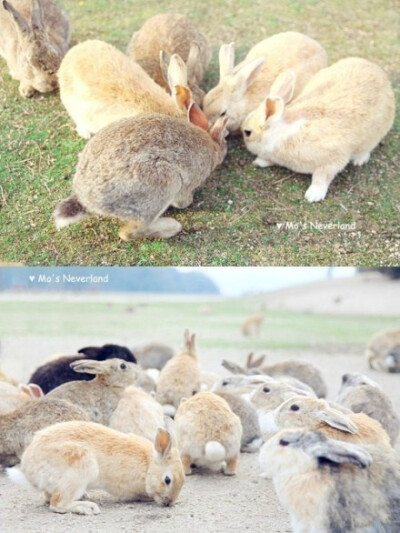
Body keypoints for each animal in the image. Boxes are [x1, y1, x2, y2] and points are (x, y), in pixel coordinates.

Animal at [9, 422, 184, 512]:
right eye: (167, 480)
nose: (169, 503)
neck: (148, 466)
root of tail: (29, 471)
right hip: (81, 469)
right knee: (57, 504)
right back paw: (87, 508)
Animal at [53, 103, 228, 239]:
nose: (226, 152)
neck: (210, 143)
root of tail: (88, 202)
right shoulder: (185, 185)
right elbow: (183, 201)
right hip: (163, 184)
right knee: (129, 232)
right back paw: (172, 227)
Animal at [242, 57, 396, 201]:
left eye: (247, 132)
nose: (244, 144)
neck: (281, 133)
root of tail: (378, 71)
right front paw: (259, 162)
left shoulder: (331, 161)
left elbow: (321, 178)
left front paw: (313, 196)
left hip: (374, 136)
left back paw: (359, 161)